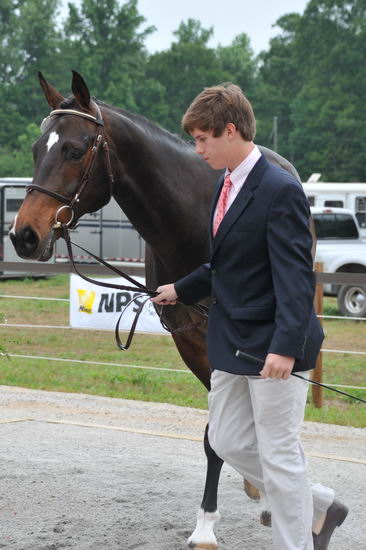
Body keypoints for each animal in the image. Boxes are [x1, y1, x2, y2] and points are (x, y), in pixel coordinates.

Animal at [9, 71, 306, 548]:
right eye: (38, 150)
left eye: (74, 150)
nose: (24, 236)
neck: (187, 219)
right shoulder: (191, 343)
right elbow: (217, 432)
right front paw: (215, 514)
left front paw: (208, 526)